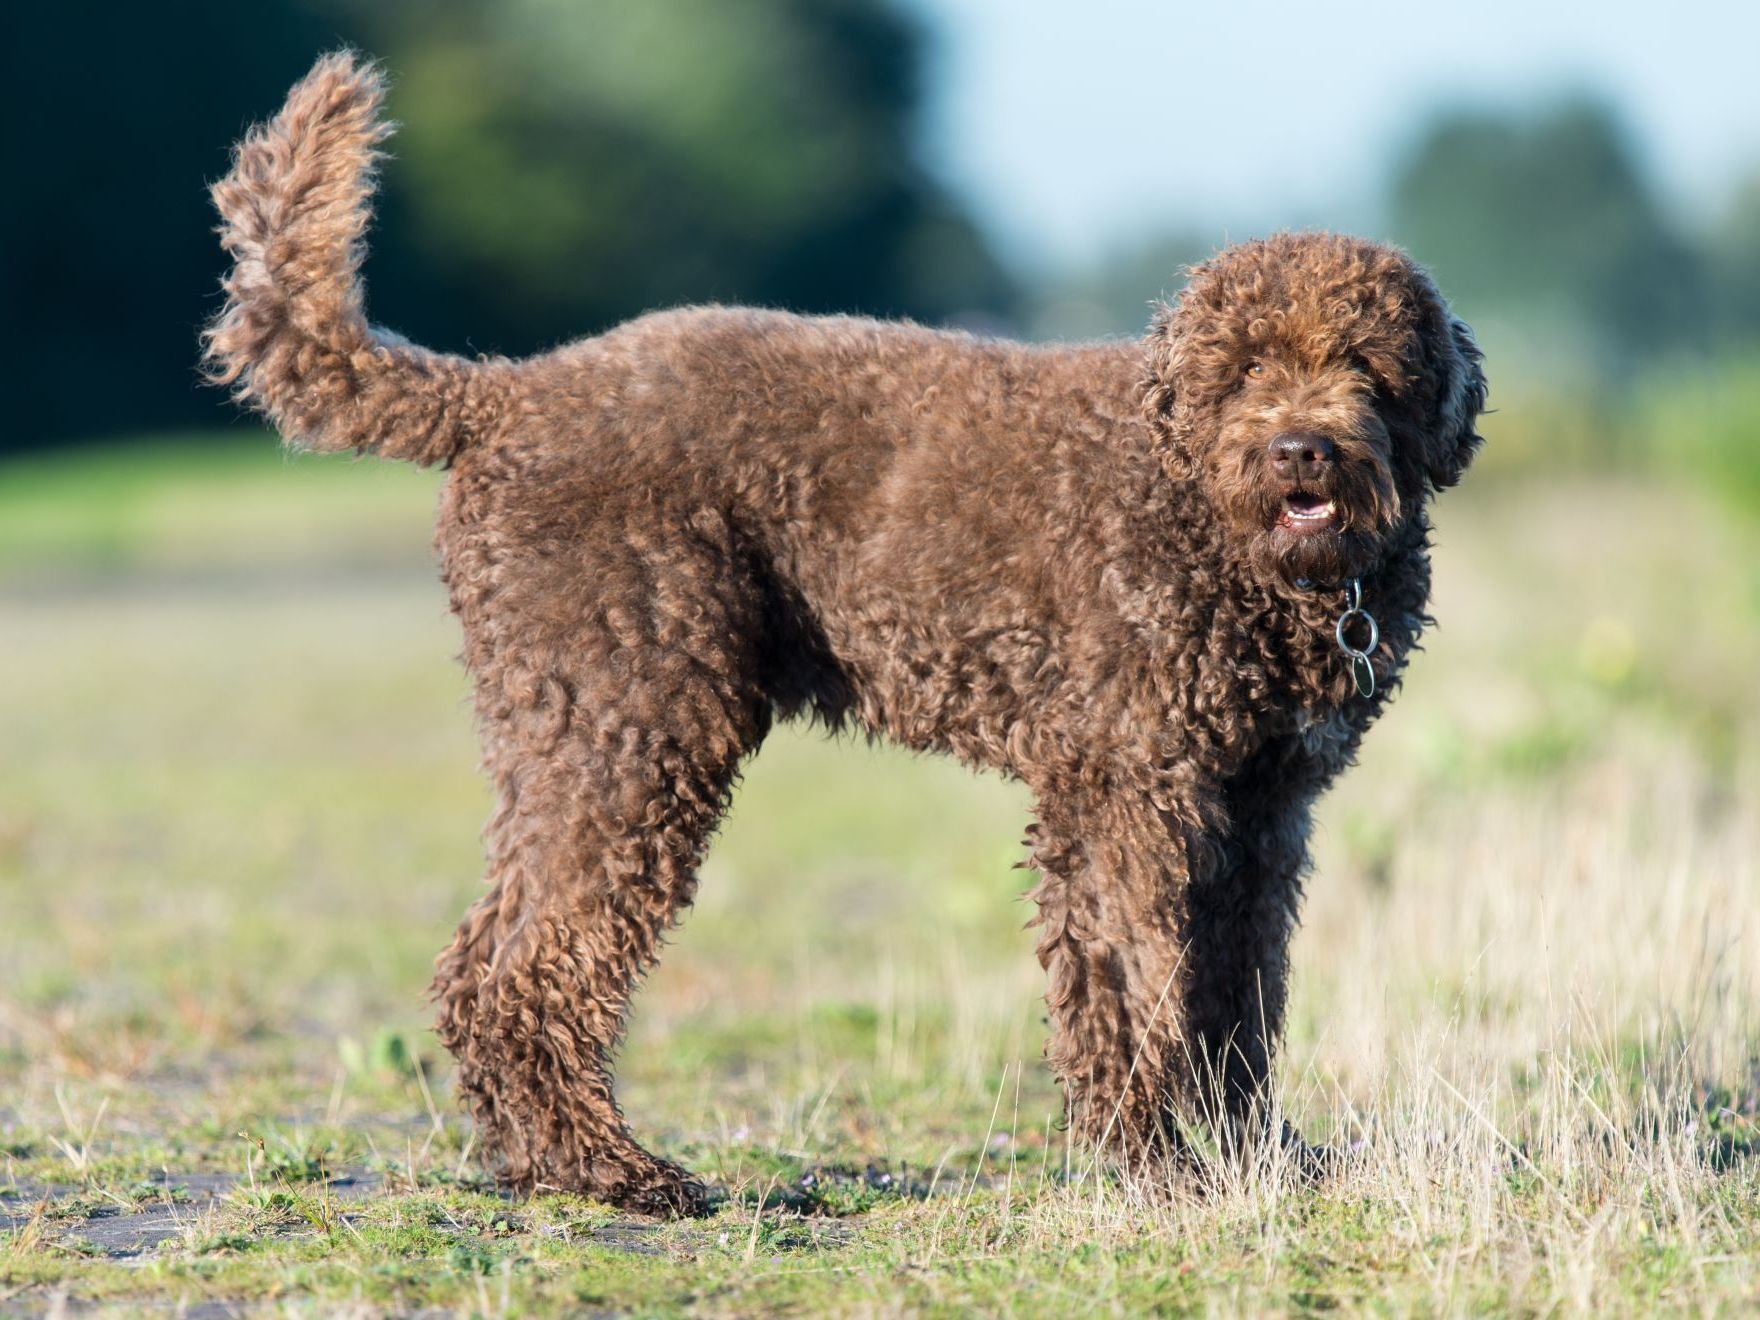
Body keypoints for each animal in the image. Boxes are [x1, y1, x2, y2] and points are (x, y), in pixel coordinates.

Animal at [209, 59, 1499, 1217]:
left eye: (1367, 365)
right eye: (1244, 369)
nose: (1299, 452)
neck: (1215, 529)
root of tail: (504, 395)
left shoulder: (1260, 808)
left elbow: (1236, 996)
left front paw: (1250, 1159)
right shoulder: (1129, 791)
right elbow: (1137, 985)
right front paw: (1155, 1165)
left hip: (585, 730)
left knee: (488, 960)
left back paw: (547, 1164)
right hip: (628, 720)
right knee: (524, 969)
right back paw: (613, 1172)